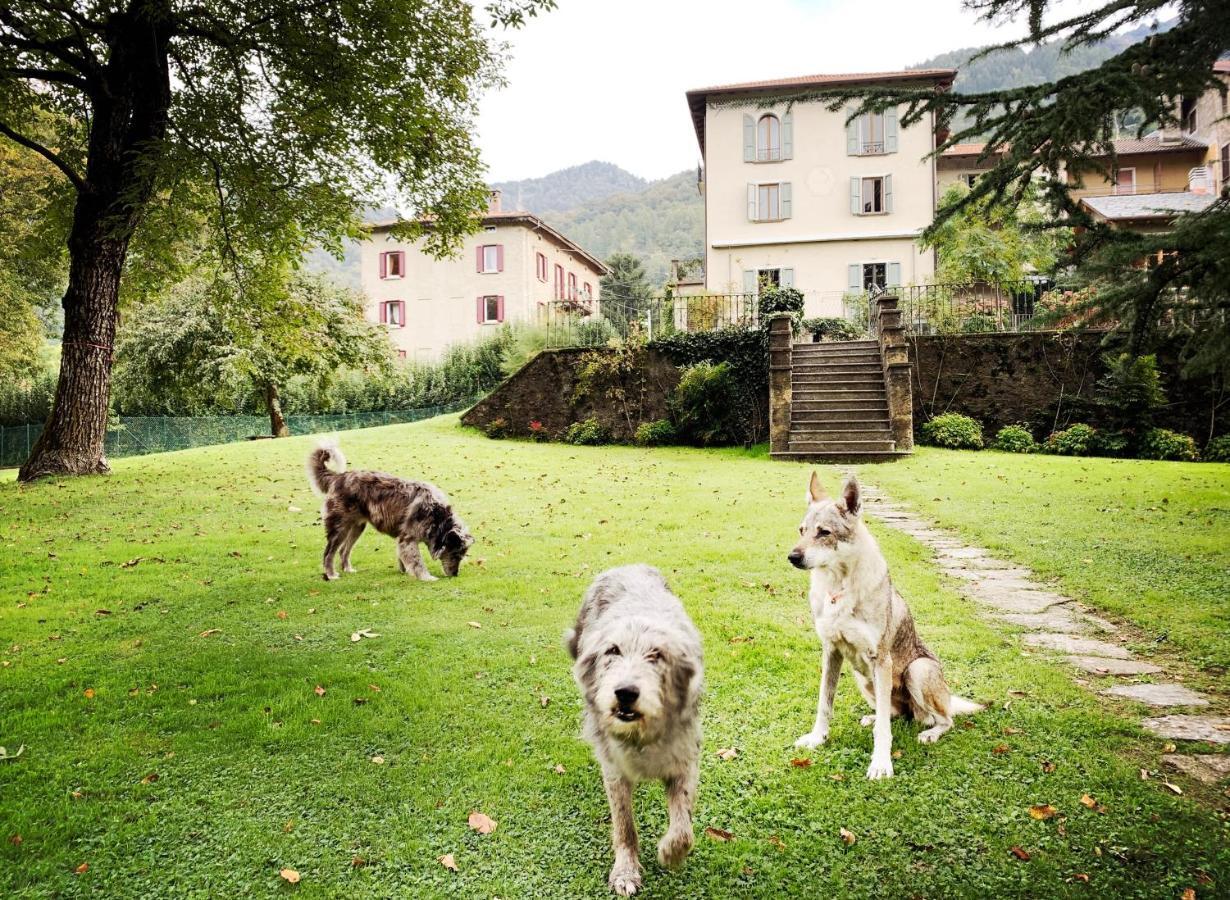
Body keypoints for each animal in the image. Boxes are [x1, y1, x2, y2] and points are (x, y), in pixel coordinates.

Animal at [305, 440, 472, 580]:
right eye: (455, 554)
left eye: (462, 555)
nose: (455, 575)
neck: (438, 516)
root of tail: (337, 477)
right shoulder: (408, 538)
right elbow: (417, 562)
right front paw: (426, 577)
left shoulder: (402, 540)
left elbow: (403, 558)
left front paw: (404, 571)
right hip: (339, 527)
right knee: (328, 553)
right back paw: (331, 575)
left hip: (357, 526)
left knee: (343, 551)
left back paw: (348, 569)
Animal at [565, 565, 703, 895]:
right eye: (612, 651)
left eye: (657, 655)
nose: (625, 692)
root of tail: (625, 566)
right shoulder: (615, 771)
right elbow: (624, 824)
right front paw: (625, 871)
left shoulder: (685, 760)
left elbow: (684, 827)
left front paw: (671, 852)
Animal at [787, 472, 979, 781]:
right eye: (802, 530)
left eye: (824, 532)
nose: (792, 557)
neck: (837, 589)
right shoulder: (831, 652)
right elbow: (824, 705)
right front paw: (817, 739)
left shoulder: (881, 660)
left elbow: (883, 733)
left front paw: (880, 764)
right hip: (862, 678)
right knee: (891, 713)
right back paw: (873, 716)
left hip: (916, 671)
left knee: (943, 719)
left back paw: (929, 733)